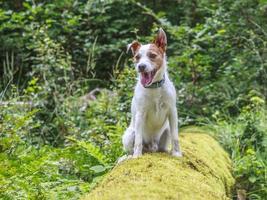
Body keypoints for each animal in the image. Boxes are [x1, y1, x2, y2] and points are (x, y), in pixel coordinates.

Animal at [123, 28, 182, 159]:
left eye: (152, 55)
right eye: (137, 57)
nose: (141, 66)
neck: (154, 87)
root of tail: (151, 146)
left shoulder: (172, 112)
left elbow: (175, 137)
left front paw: (177, 153)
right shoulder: (140, 114)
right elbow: (138, 141)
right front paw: (137, 156)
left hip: (166, 130)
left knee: (162, 146)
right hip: (129, 135)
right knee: (133, 146)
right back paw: (129, 156)